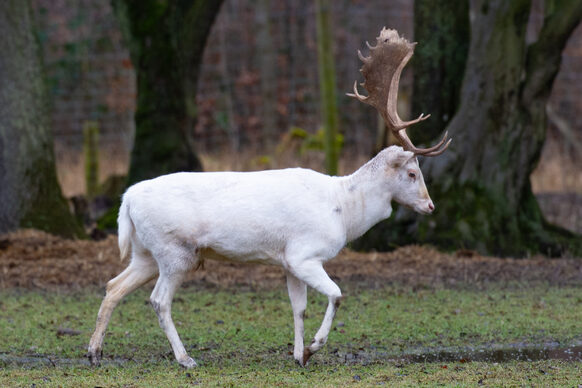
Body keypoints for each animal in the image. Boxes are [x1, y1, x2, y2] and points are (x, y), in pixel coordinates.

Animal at [86, 27, 452, 366]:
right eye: (412, 173)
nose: (430, 205)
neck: (344, 211)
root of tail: (127, 199)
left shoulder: (289, 261)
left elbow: (298, 308)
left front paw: (299, 356)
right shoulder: (306, 254)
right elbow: (336, 295)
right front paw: (314, 348)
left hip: (145, 252)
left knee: (113, 285)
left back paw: (94, 352)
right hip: (175, 251)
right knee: (158, 300)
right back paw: (185, 358)